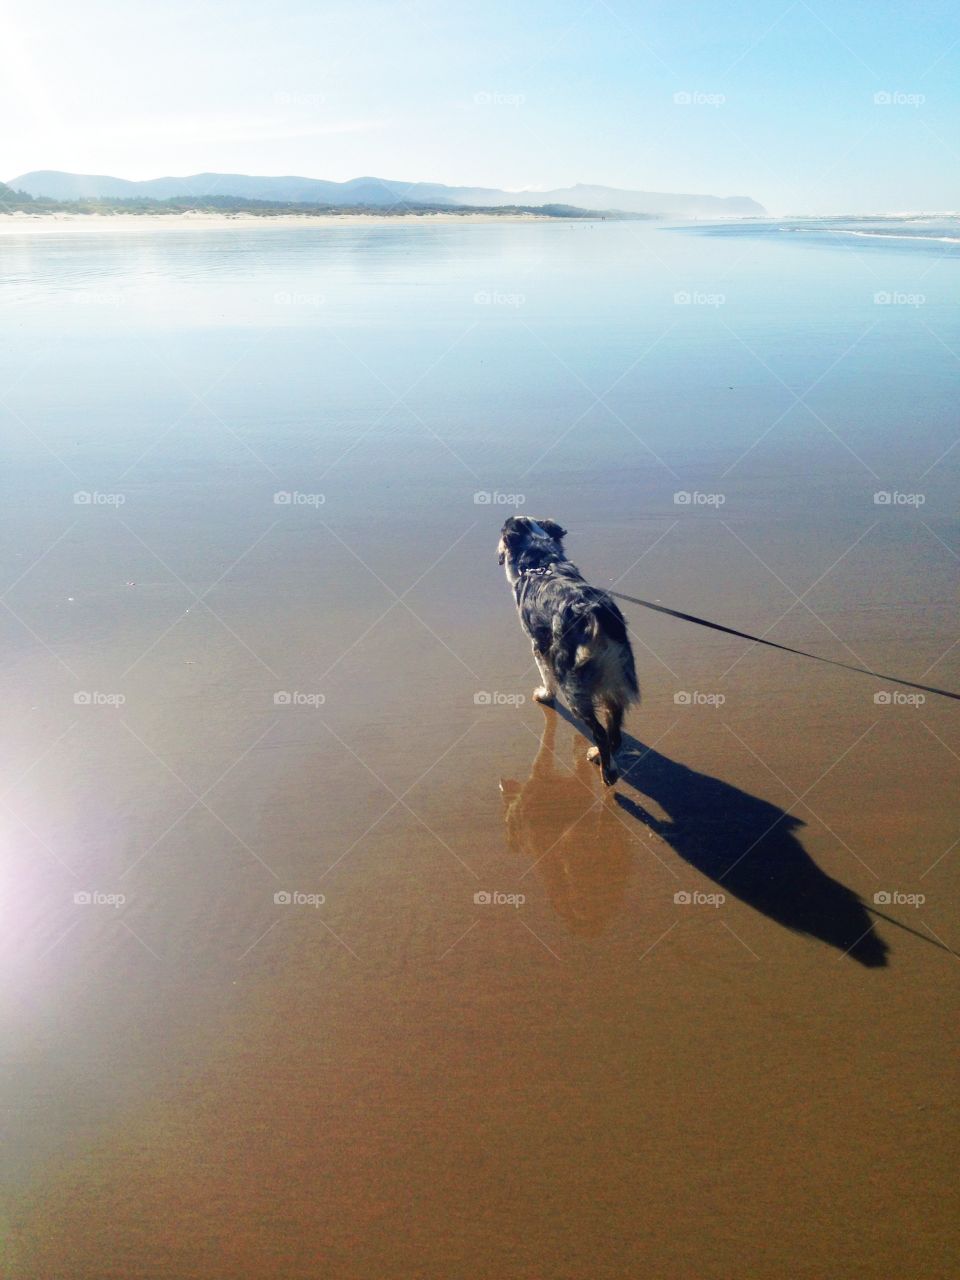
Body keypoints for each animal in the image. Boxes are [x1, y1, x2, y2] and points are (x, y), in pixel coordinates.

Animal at [499, 517, 642, 778]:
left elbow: (546, 676)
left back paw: (607, 771)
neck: (540, 563)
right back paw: (599, 755)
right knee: (614, 726)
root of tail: (593, 612)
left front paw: (545, 695)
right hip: (615, 674)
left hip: (572, 681)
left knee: (599, 731)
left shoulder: (539, 645)